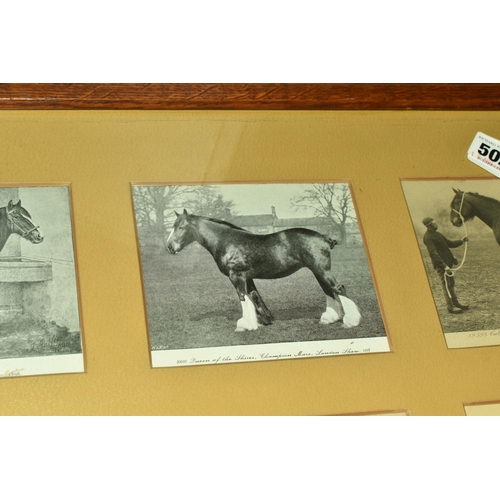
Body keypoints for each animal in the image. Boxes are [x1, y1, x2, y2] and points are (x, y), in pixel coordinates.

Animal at [166, 210, 362, 332]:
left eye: (181, 227)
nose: (169, 247)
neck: (226, 240)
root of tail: (323, 237)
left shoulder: (236, 276)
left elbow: (243, 298)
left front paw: (245, 325)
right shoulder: (248, 278)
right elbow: (255, 297)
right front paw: (266, 319)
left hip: (321, 270)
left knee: (339, 288)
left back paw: (351, 321)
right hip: (318, 271)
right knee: (329, 290)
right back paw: (330, 318)